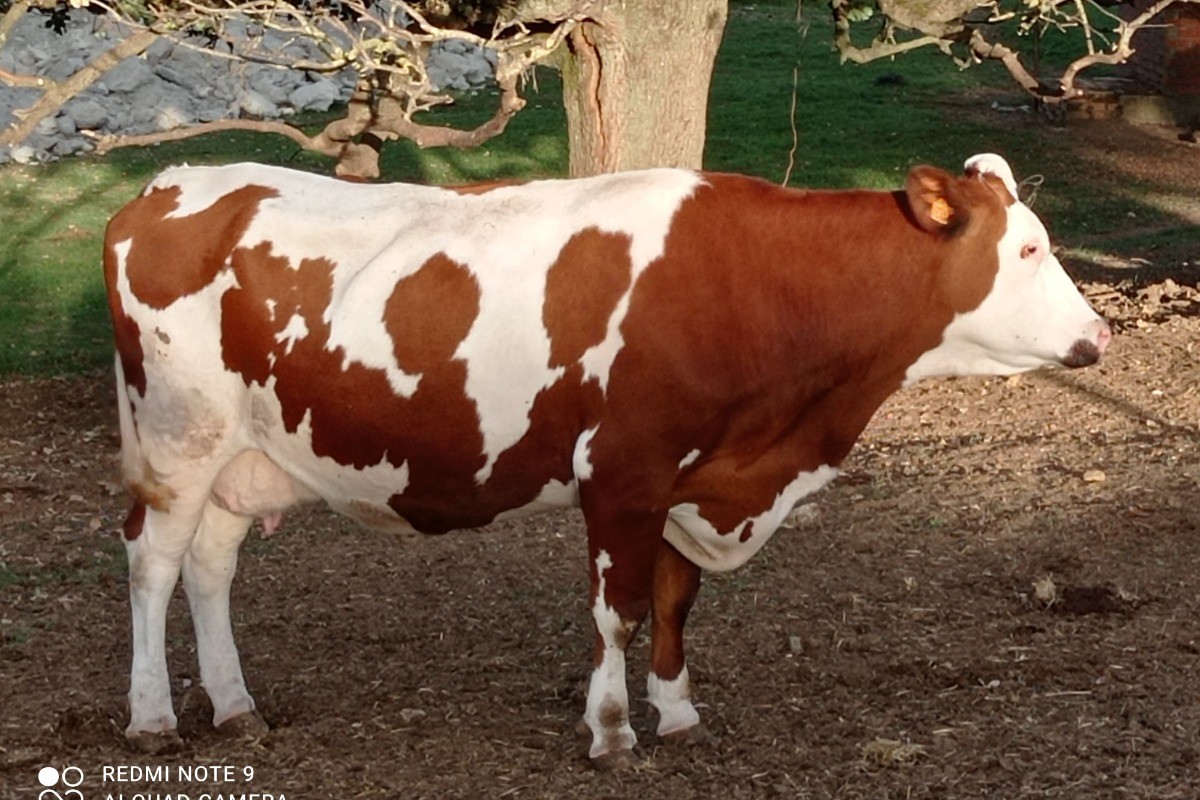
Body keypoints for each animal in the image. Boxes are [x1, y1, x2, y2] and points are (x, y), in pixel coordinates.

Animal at [104, 154, 1110, 766]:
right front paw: (615, 730)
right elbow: (617, 610)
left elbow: (674, 601)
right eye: (1028, 246)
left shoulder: (686, 479)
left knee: (210, 566)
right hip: (177, 437)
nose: (1101, 335)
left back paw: (236, 705)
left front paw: (680, 713)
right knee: (152, 563)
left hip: (238, 454)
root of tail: (167, 185)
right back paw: (152, 717)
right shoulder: (623, 474)